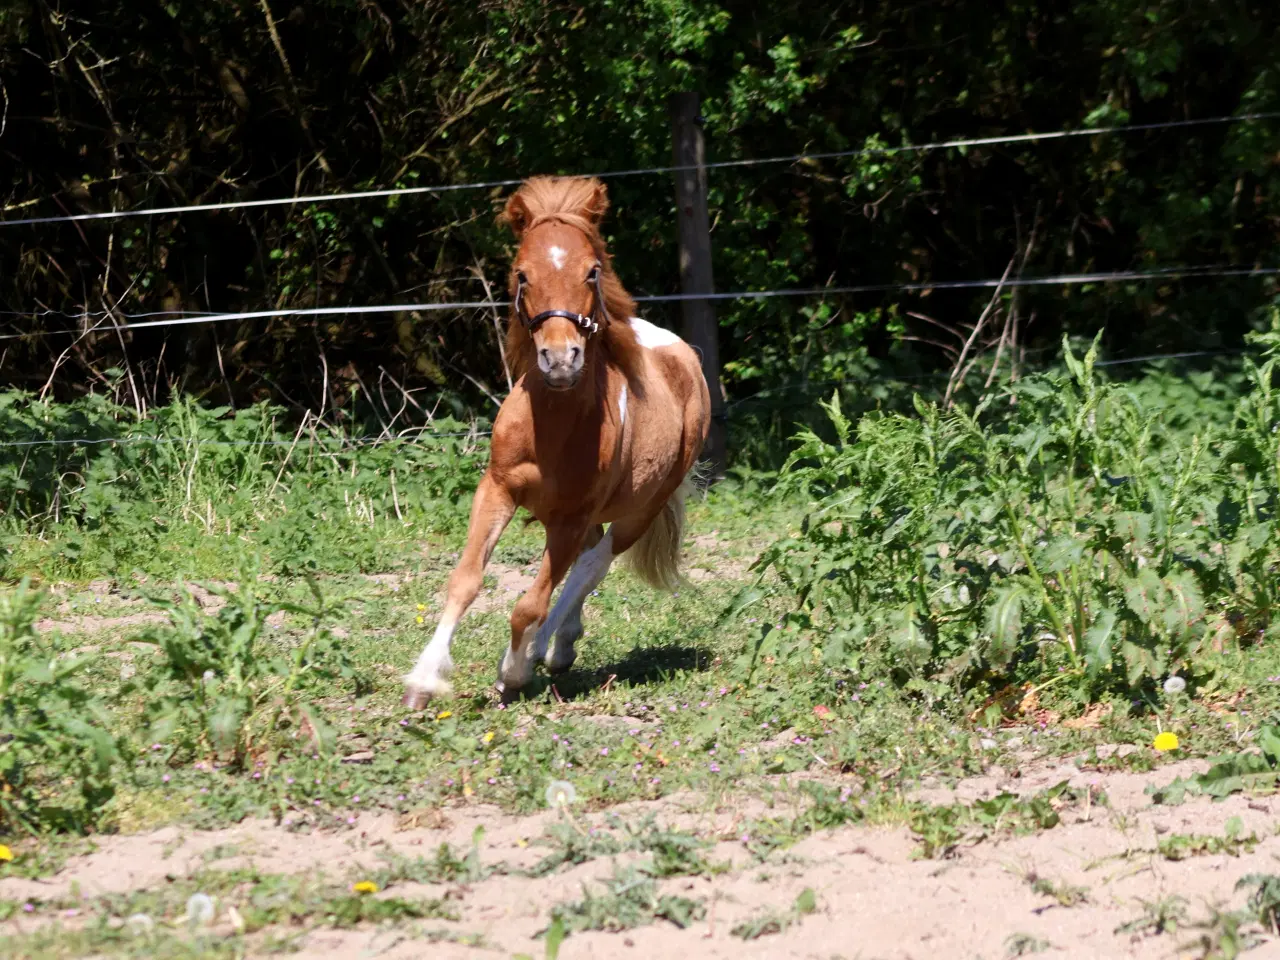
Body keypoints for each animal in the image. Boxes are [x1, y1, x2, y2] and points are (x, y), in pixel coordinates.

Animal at [401, 176, 711, 711]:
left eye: (592, 271)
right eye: (522, 274)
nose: (561, 359)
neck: (552, 429)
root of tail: (680, 352)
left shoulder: (570, 519)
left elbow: (530, 605)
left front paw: (511, 674)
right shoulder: (497, 489)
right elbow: (465, 581)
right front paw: (423, 681)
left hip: (639, 510)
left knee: (591, 565)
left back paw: (544, 653)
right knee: (582, 566)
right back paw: (556, 648)